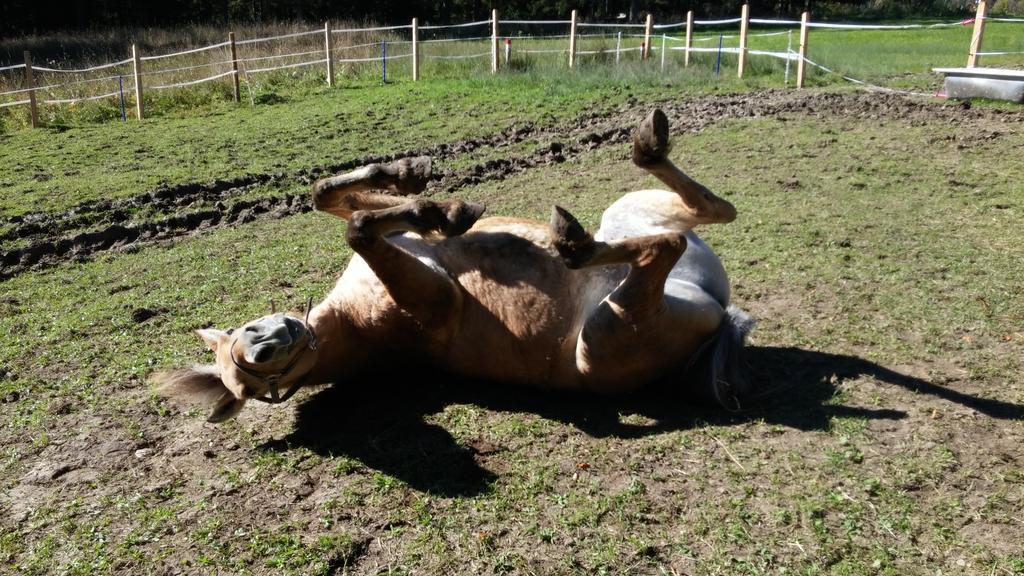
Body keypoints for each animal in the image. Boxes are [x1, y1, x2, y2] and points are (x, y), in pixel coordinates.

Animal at [155, 108, 757, 422]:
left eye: (242, 333)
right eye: (261, 389)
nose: (266, 343)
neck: (351, 321)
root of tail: (719, 313)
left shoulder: (400, 243)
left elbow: (333, 199)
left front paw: (424, 190)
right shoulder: (434, 297)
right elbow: (357, 226)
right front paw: (436, 205)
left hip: (628, 215)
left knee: (712, 210)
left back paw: (646, 144)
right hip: (604, 335)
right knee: (665, 245)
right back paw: (573, 241)